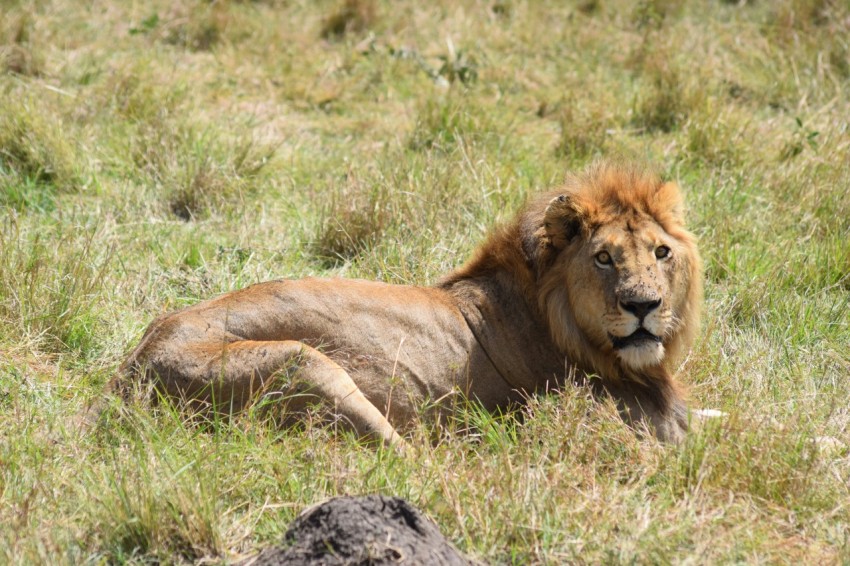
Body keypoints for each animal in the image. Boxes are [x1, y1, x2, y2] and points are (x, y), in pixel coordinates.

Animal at [101, 163, 704, 448]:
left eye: (661, 253)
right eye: (603, 257)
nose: (645, 305)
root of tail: (131, 367)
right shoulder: (632, 422)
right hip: (303, 364)